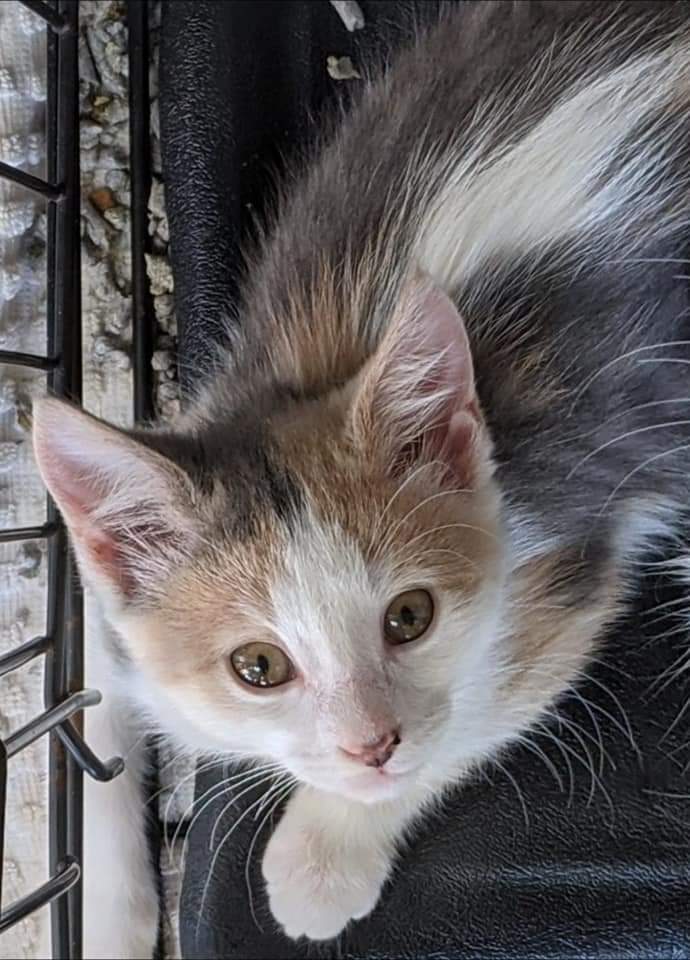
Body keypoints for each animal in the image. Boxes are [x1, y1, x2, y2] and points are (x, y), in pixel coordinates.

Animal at [33, 0, 690, 946]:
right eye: (258, 667)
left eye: (410, 617)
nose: (370, 744)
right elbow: (81, 689)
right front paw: (105, 913)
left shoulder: (565, 558)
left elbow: (479, 708)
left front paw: (321, 858)